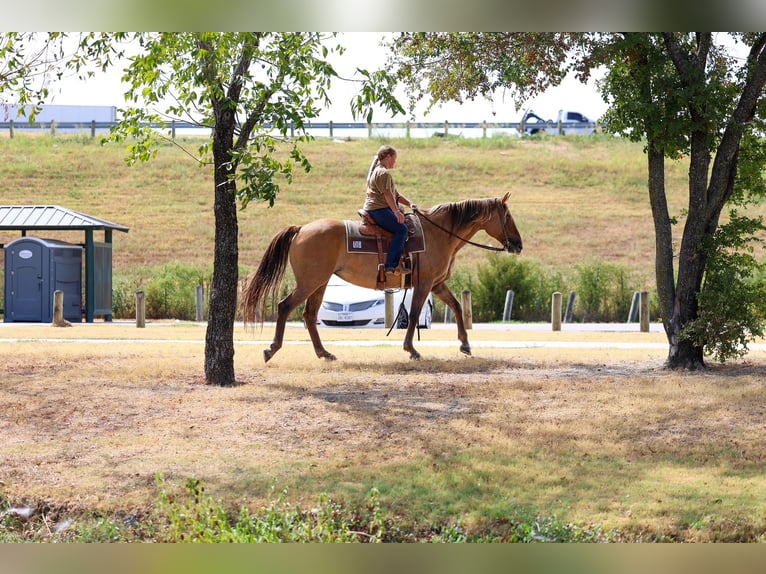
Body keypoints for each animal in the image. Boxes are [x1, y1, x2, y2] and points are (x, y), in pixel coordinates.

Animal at [241, 192, 523, 362]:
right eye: (508, 216)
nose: (518, 245)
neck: (439, 234)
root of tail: (300, 229)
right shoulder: (424, 283)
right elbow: (415, 314)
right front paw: (411, 349)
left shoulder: (437, 284)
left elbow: (456, 307)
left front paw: (465, 345)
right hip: (310, 282)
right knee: (285, 307)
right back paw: (272, 349)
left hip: (319, 283)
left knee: (309, 315)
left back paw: (324, 353)